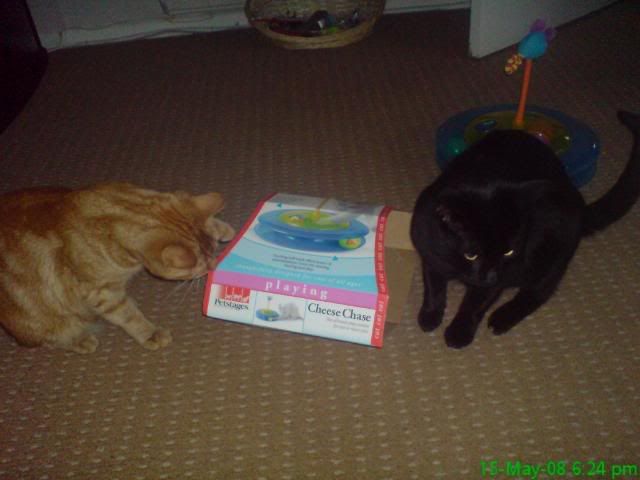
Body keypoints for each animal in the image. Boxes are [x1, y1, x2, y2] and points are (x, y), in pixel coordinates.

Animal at [0, 182, 235, 353]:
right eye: (201, 268)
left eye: (214, 253)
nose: (214, 266)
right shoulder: (102, 293)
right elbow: (129, 316)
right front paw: (150, 333)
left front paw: (224, 229)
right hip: (45, 322)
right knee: (50, 338)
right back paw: (80, 340)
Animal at [410, 111, 640, 349]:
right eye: (471, 255)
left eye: (508, 252)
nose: (491, 276)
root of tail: (580, 207)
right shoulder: (429, 250)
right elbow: (433, 285)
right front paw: (429, 315)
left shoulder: (501, 275)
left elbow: (475, 303)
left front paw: (459, 332)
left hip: (553, 253)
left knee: (539, 291)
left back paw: (501, 318)